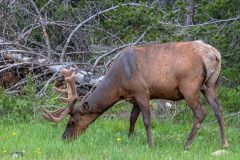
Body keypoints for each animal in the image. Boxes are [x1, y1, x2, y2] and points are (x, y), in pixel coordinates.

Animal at [42, 41, 230, 149]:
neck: (118, 84)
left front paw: (151, 145)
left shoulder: (142, 91)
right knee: (218, 111)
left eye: (73, 121)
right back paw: (225, 144)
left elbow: (146, 121)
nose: (64, 138)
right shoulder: (133, 98)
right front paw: (129, 138)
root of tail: (215, 55)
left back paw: (187, 145)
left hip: (189, 86)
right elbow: (132, 118)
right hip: (210, 84)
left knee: (201, 113)